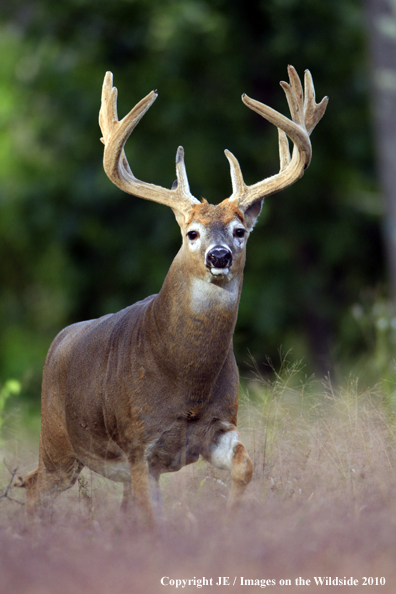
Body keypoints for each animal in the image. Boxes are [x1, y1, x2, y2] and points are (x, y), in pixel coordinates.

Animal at [24, 65, 328, 520]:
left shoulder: (219, 425)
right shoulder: (139, 443)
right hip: (57, 440)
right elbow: (154, 519)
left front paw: (230, 523)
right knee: (34, 486)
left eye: (240, 231)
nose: (219, 256)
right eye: (192, 233)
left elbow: (246, 466)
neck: (184, 381)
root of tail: (59, 340)